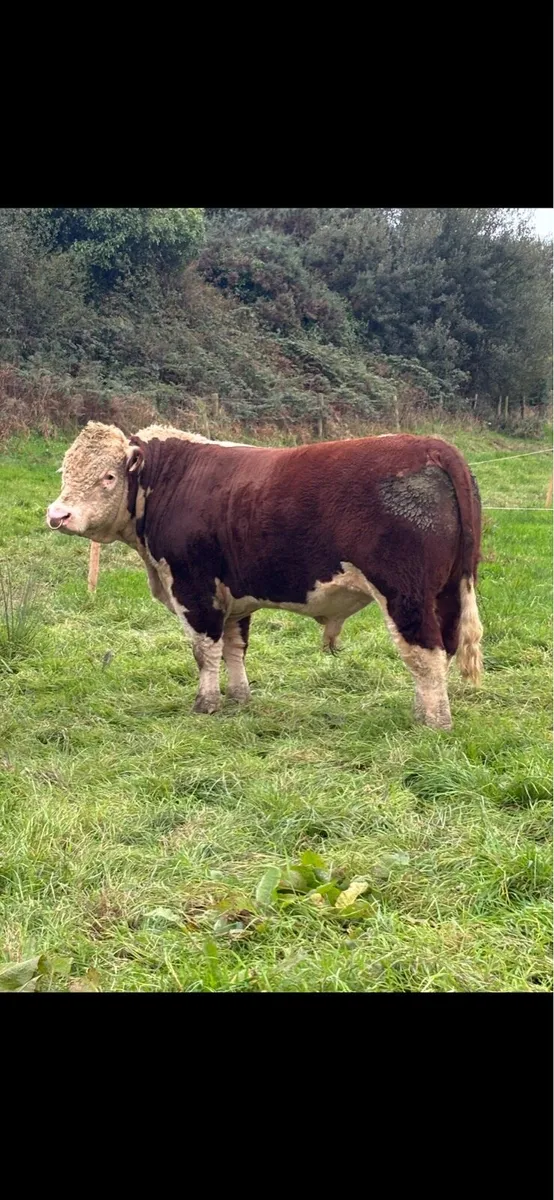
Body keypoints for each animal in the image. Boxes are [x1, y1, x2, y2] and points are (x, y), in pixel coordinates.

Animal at [46, 422, 483, 730]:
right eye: (65, 471)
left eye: (108, 476)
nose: (57, 515)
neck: (170, 481)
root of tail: (432, 446)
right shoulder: (233, 596)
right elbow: (235, 647)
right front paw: (240, 697)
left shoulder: (194, 589)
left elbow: (205, 651)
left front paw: (205, 704)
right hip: (446, 591)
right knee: (442, 650)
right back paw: (423, 711)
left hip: (406, 594)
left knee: (424, 652)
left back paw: (434, 723)